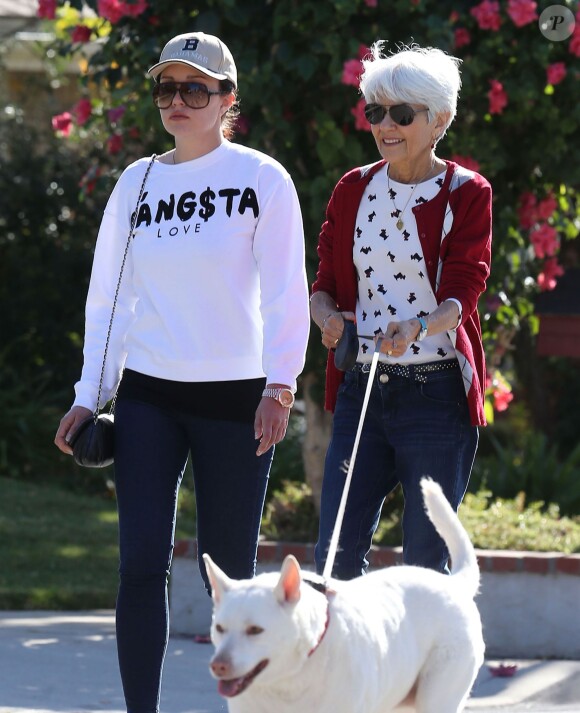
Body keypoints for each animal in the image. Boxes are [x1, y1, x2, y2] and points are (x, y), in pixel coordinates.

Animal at [204, 478, 484, 712]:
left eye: (255, 630)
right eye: (219, 628)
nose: (218, 666)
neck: (289, 680)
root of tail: (453, 584)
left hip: (438, 693)